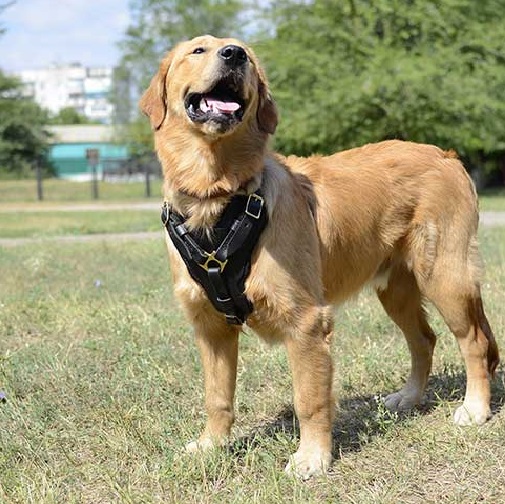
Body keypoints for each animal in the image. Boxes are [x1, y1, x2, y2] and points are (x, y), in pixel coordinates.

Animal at [140, 34, 498, 476]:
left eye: (246, 55)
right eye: (198, 51)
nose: (234, 55)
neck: (219, 198)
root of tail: (445, 154)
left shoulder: (307, 322)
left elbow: (309, 400)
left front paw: (312, 457)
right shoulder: (211, 326)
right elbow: (217, 396)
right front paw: (212, 445)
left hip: (446, 276)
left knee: (474, 341)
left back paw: (475, 408)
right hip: (395, 289)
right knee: (424, 339)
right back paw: (409, 397)